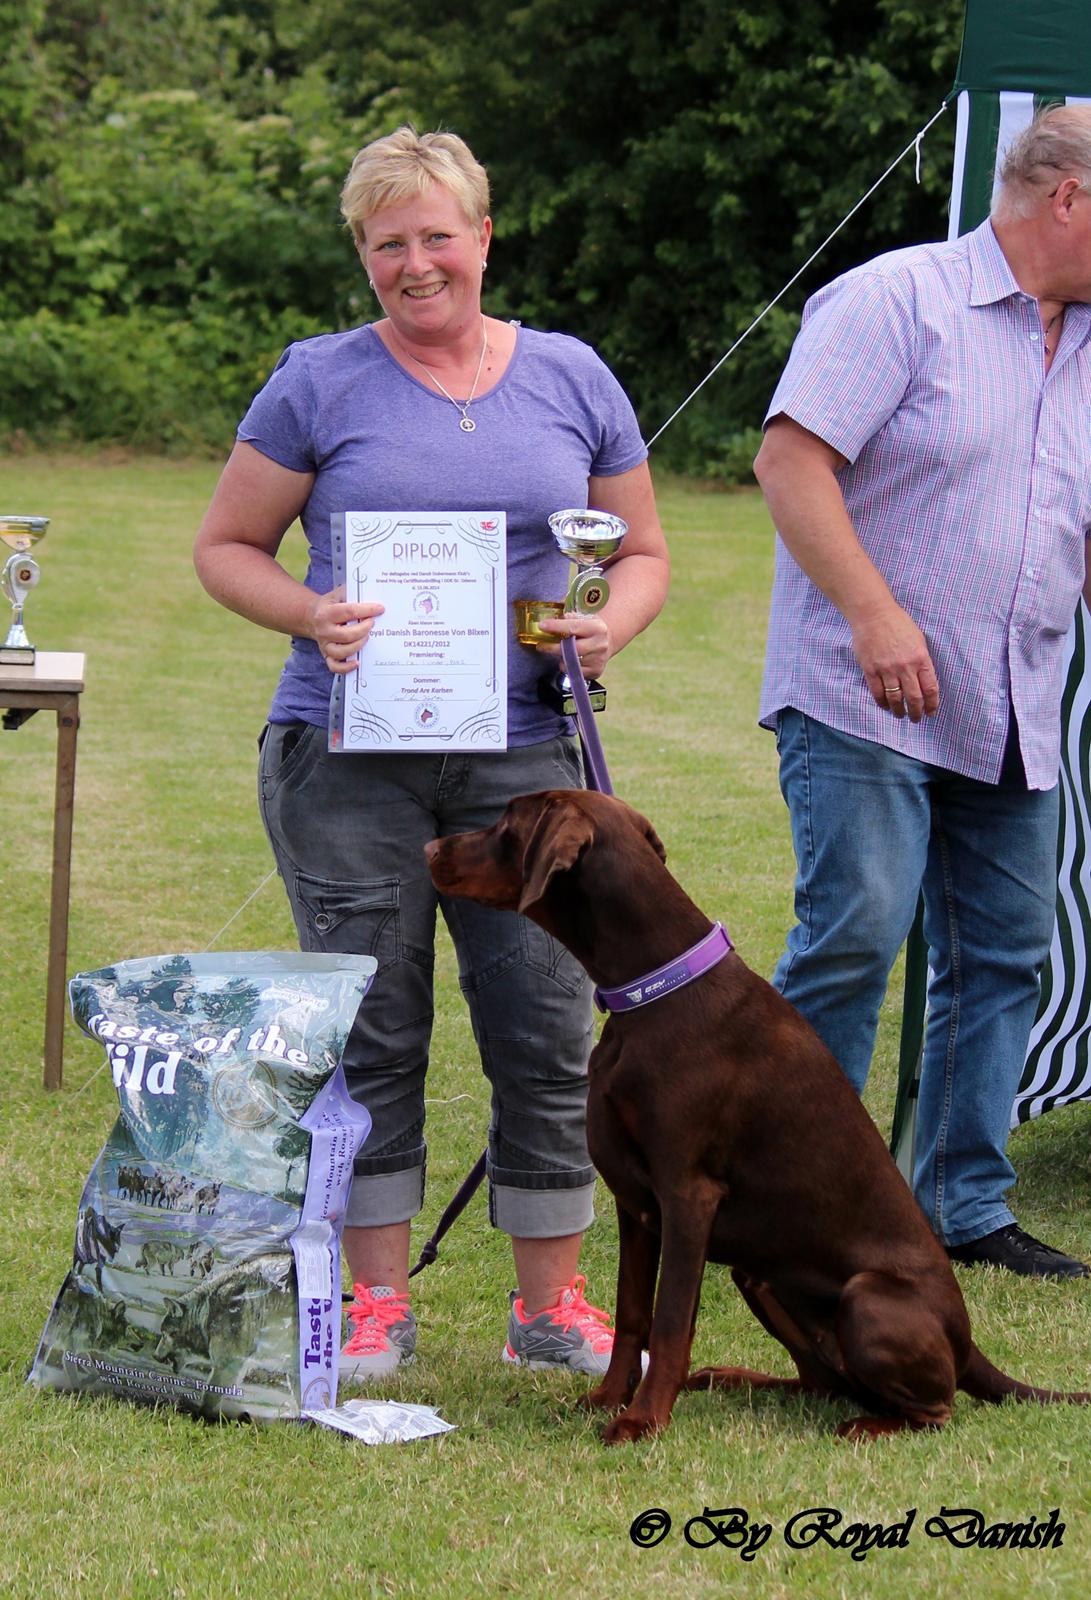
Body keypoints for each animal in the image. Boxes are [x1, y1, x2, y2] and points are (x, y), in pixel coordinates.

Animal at [425, 793, 1087, 1446]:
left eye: (505, 824)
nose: (430, 848)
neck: (653, 991)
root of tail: (968, 1342)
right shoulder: (637, 1206)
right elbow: (634, 1313)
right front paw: (609, 1399)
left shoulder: (687, 1196)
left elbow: (670, 1321)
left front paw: (642, 1419)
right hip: (758, 1273)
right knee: (822, 1381)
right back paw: (738, 1379)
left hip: (867, 1299)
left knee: (932, 1408)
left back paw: (864, 1425)